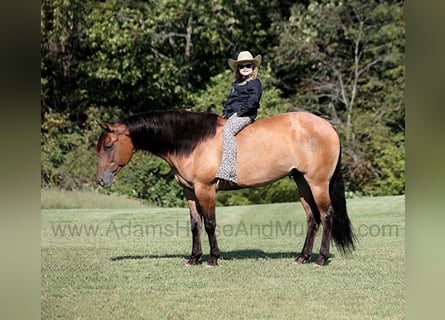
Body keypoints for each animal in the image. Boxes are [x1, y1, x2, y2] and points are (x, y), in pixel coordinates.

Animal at [95, 111, 356, 266]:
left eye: (108, 146)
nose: (101, 180)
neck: (192, 141)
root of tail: (328, 127)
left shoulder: (206, 189)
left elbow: (210, 224)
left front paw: (212, 258)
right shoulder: (189, 192)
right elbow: (195, 225)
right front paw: (194, 258)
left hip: (318, 183)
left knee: (327, 215)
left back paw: (321, 258)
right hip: (301, 182)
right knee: (312, 218)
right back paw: (302, 257)